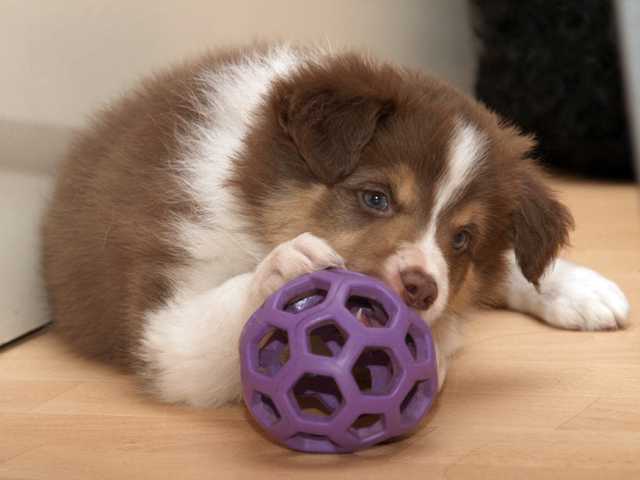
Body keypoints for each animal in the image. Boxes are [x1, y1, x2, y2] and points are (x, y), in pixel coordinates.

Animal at [42, 44, 629, 407]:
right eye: (376, 198)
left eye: (462, 238)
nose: (420, 289)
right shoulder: (167, 300)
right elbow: (199, 328)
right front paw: (285, 268)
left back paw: (582, 290)